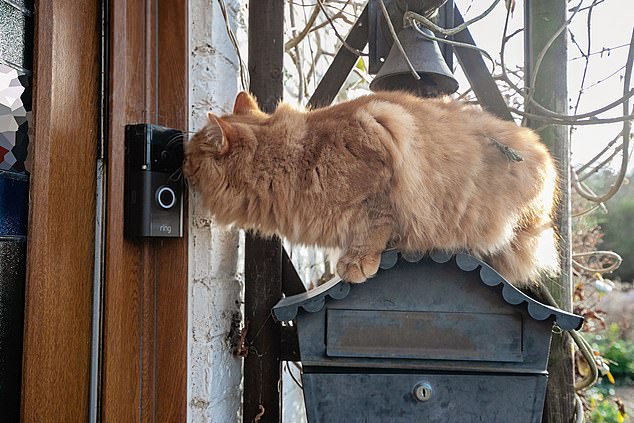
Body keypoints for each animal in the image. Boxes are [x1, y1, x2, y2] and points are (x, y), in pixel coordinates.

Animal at [180, 91, 556, 286]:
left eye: (190, 154)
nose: (180, 163)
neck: (291, 159)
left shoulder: (380, 149)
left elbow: (373, 227)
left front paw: (357, 262)